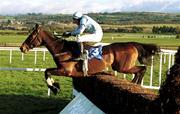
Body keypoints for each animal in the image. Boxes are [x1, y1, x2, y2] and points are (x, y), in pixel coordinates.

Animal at [19, 24, 160, 94]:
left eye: (31, 36)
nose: (22, 48)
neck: (61, 49)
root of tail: (132, 44)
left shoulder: (66, 71)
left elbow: (47, 71)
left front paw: (54, 87)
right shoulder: (60, 69)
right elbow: (47, 71)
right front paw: (55, 85)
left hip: (122, 67)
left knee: (142, 69)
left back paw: (136, 84)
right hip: (123, 66)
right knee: (140, 70)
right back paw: (133, 84)